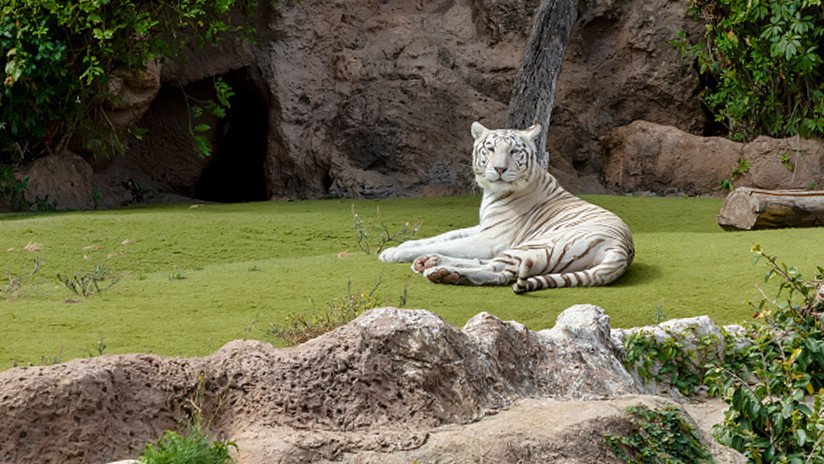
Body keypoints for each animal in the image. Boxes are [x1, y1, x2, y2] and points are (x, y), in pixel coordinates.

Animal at [378, 121, 634, 293]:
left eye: (514, 151)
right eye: (490, 149)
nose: (500, 169)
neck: (493, 192)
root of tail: (623, 250)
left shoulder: (491, 238)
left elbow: (449, 243)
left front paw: (395, 253)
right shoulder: (483, 227)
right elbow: (444, 236)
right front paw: (404, 246)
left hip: (536, 246)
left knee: (498, 271)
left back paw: (441, 272)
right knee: (492, 266)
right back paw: (431, 262)